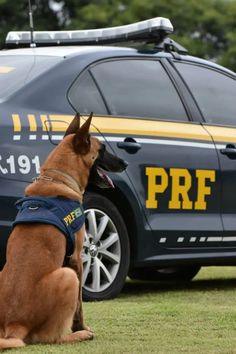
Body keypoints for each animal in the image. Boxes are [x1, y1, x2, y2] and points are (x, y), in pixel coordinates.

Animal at [0, 113, 127, 348]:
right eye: (103, 149)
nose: (126, 163)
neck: (57, 178)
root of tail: (14, 325)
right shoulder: (77, 260)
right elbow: (79, 306)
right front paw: (81, 327)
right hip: (68, 276)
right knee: (50, 338)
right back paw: (78, 335)